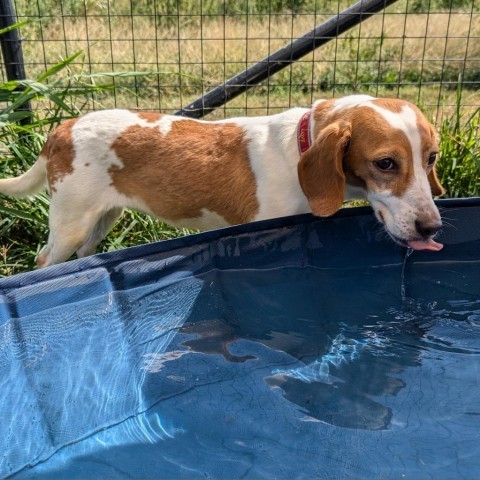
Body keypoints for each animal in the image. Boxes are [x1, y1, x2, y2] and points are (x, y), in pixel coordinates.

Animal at [0, 94, 442, 266]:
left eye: (432, 158)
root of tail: (63, 127)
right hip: (70, 223)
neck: (300, 149)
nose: (432, 227)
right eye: (385, 163)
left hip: (103, 220)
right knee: (44, 261)